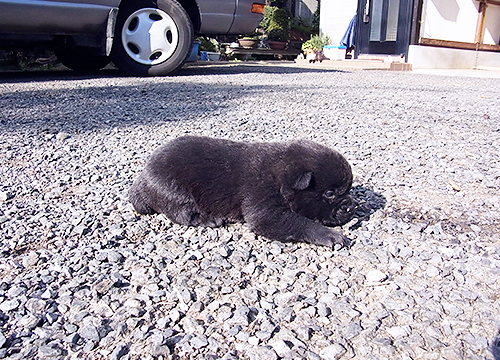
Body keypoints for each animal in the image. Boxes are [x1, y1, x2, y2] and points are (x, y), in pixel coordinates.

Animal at [129, 136, 356, 249]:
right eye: (330, 194)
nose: (351, 206)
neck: (280, 176)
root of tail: (141, 181)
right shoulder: (266, 211)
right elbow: (301, 223)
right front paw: (330, 235)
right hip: (175, 192)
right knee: (182, 213)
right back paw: (208, 219)